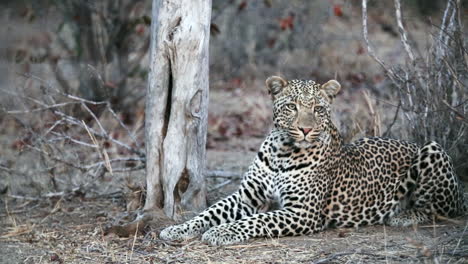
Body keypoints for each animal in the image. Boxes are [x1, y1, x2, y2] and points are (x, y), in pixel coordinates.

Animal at [159, 75, 466, 245]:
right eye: (291, 107)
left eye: (318, 109)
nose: (306, 129)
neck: (282, 151)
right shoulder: (247, 196)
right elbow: (208, 213)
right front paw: (176, 229)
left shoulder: (302, 212)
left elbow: (255, 221)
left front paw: (221, 232)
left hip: (433, 149)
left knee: (440, 208)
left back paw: (403, 215)